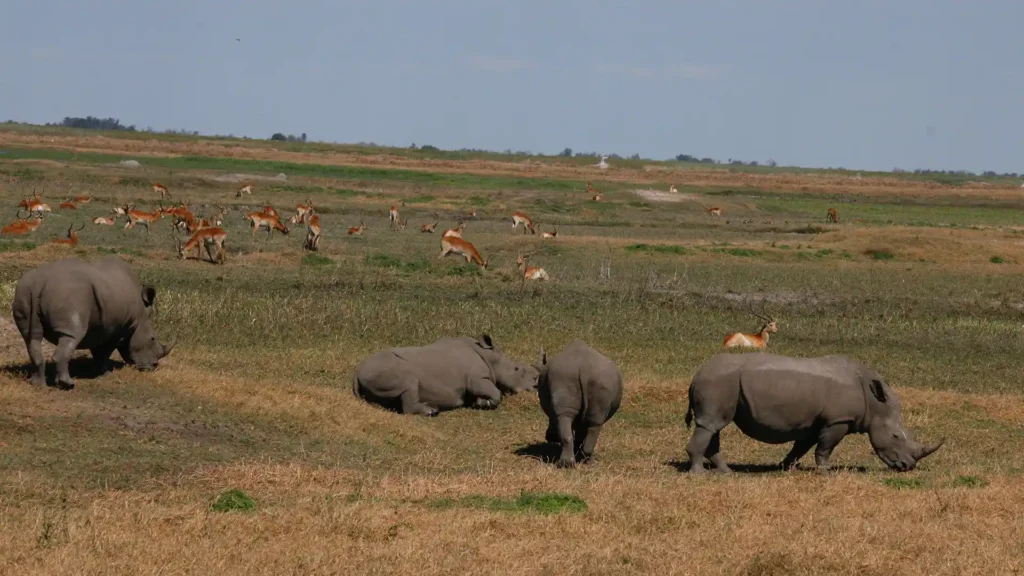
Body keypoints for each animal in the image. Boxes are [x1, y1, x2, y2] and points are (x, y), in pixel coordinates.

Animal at [12, 256, 175, 387]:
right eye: (152, 338)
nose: (153, 366)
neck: (141, 315)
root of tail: (39, 284)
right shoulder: (117, 329)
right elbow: (105, 351)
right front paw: (106, 373)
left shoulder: (101, 326)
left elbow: (97, 349)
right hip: (70, 295)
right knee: (72, 335)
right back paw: (68, 385)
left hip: (25, 290)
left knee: (30, 337)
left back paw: (37, 384)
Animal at [354, 334, 540, 414]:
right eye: (517, 369)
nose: (535, 385)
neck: (489, 356)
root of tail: (356, 373)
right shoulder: (477, 379)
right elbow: (496, 393)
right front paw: (481, 403)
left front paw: (478, 402)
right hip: (383, 369)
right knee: (409, 381)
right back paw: (431, 411)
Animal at [688, 352, 942, 473]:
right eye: (896, 436)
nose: (907, 466)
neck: (873, 402)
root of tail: (697, 373)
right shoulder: (837, 420)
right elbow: (826, 447)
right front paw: (826, 471)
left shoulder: (815, 422)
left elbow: (801, 446)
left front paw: (786, 467)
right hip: (719, 382)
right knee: (710, 424)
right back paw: (700, 474)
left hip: (723, 383)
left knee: (713, 426)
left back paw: (726, 471)